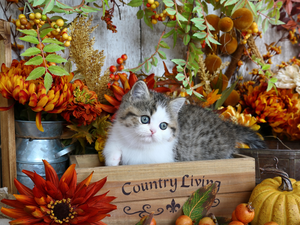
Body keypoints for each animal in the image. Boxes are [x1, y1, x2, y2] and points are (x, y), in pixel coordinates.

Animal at [102, 80, 264, 166]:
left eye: (163, 126)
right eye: (145, 119)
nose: (153, 131)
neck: (138, 145)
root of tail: (227, 126)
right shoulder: (115, 135)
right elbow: (110, 152)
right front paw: (115, 158)